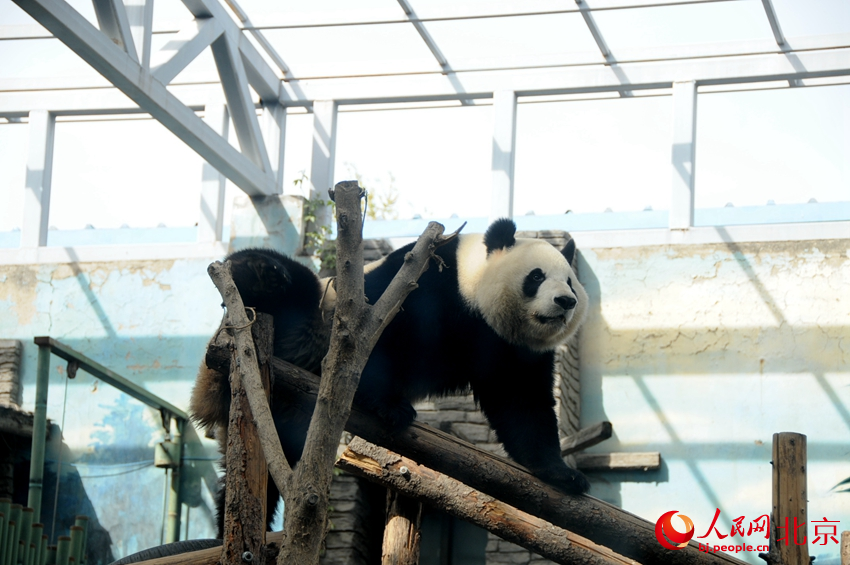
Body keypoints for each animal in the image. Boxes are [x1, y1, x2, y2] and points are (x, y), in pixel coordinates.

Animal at [190, 216, 588, 532]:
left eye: (570, 282)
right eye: (536, 277)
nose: (565, 302)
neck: (472, 290)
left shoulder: (509, 348)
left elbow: (522, 405)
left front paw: (561, 473)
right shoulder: (425, 281)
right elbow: (375, 337)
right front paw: (389, 405)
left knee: (271, 464)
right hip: (310, 313)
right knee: (290, 282)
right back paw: (256, 270)